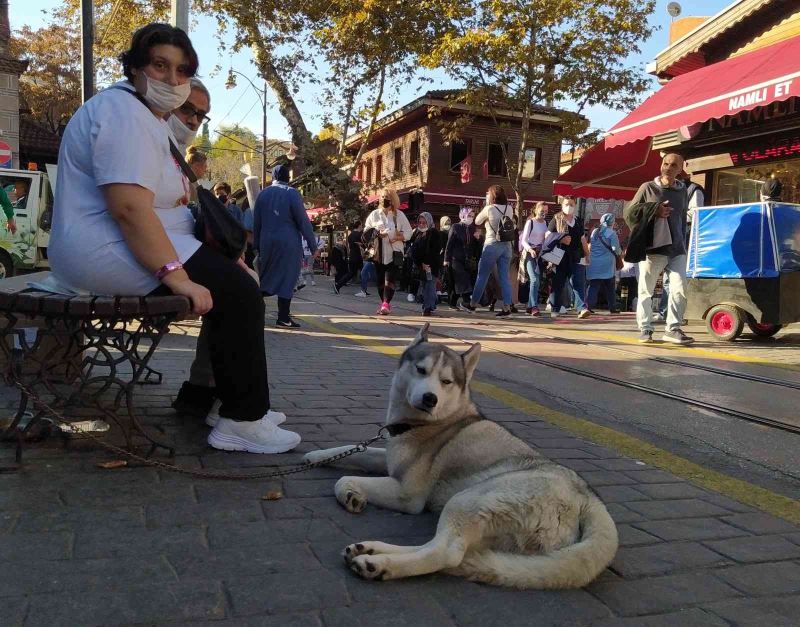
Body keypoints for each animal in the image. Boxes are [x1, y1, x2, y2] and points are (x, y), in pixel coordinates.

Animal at [304, 326, 616, 592]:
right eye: (421, 370)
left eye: (446, 381)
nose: (430, 398)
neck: (429, 423)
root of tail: (590, 499)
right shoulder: (390, 459)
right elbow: (358, 450)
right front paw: (316, 456)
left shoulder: (408, 494)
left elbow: (345, 477)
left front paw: (350, 493)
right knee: (443, 548)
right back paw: (371, 549)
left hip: (469, 500)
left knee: (445, 553)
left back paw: (378, 564)